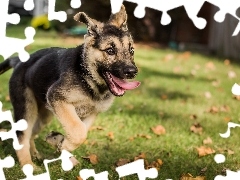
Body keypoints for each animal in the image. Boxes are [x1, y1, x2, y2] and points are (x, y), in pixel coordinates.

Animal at [0, 5, 141, 167]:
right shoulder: (58, 98)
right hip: (27, 109)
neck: (88, 77)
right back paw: (29, 166)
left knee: (31, 134)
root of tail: (19, 61)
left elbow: (81, 131)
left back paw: (35, 155)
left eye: (131, 51)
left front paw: (60, 142)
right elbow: (78, 131)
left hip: (44, 115)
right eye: (110, 51)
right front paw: (63, 145)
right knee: (21, 136)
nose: (132, 72)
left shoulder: (91, 113)